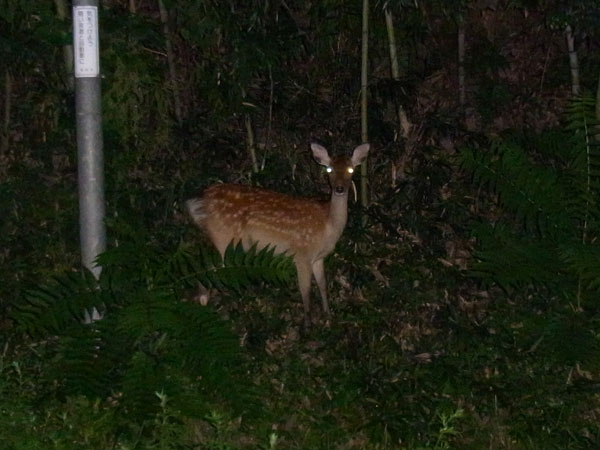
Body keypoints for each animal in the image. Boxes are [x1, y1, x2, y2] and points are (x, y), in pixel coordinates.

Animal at [186, 142, 370, 326]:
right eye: (329, 169)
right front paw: (308, 324)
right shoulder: (301, 254)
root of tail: (199, 202)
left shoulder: (318, 258)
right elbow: (306, 290)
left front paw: (328, 315)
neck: (327, 227)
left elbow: (322, 285)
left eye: (351, 170)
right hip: (224, 237)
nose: (339, 189)